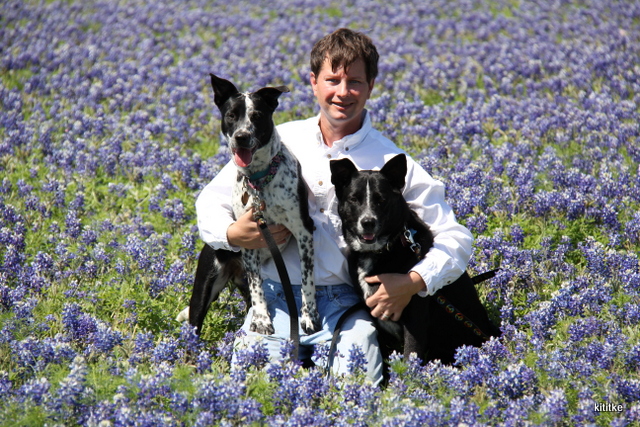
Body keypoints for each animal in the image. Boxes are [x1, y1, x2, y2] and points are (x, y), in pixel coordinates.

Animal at [180, 74, 320, 338]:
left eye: (257, 115)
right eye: (231, 115)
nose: (241, 136)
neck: (259, 179)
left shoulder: (304, 231)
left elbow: (307, 279)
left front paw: (309, 316)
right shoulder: (249, 240)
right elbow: (258, 287)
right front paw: (263, 320)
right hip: (205, 286)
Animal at [330, 155, 500, 366]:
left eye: (381, 199)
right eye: (354, 199)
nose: (367, 222)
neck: (380, 250)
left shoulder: (415, 317)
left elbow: (410, 355)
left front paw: (410, 374)